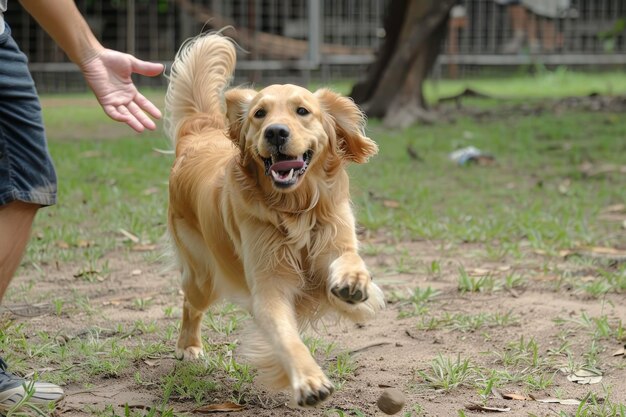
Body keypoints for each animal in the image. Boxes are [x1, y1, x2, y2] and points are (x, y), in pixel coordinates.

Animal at [163, 33, 382, 406]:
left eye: (302, 111)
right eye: (259, 114)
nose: (276, 132)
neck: (295, 209)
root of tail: (200, 132)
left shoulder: (334, 235)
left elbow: (350, 260)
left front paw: (353, 282)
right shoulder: (269, 287)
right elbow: (285, 336)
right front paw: (308, 380)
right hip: (203, 274)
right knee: (191, 303)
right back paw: (188, 347)